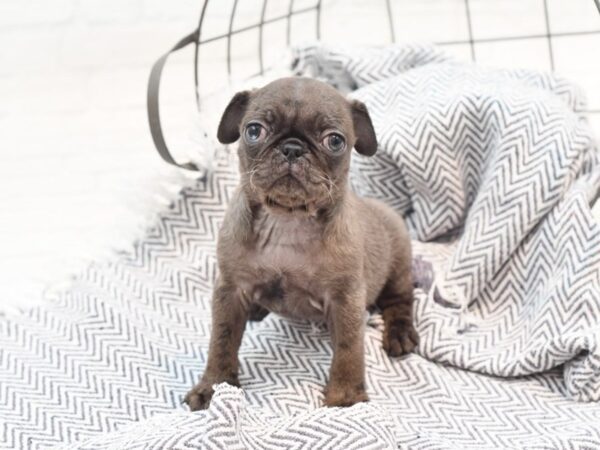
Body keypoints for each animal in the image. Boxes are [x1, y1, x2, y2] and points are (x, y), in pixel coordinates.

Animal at [185, 78, 420, 412]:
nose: (292, 148)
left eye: (334, 141)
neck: (287, 220)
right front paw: (214, 388)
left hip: (398, 260)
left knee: (400, 299)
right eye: (253, 131)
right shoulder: (230, 289)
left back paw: (401, 334)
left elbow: (349, 348)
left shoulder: (346, 299)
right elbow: (222, 340)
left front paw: (346, 398)